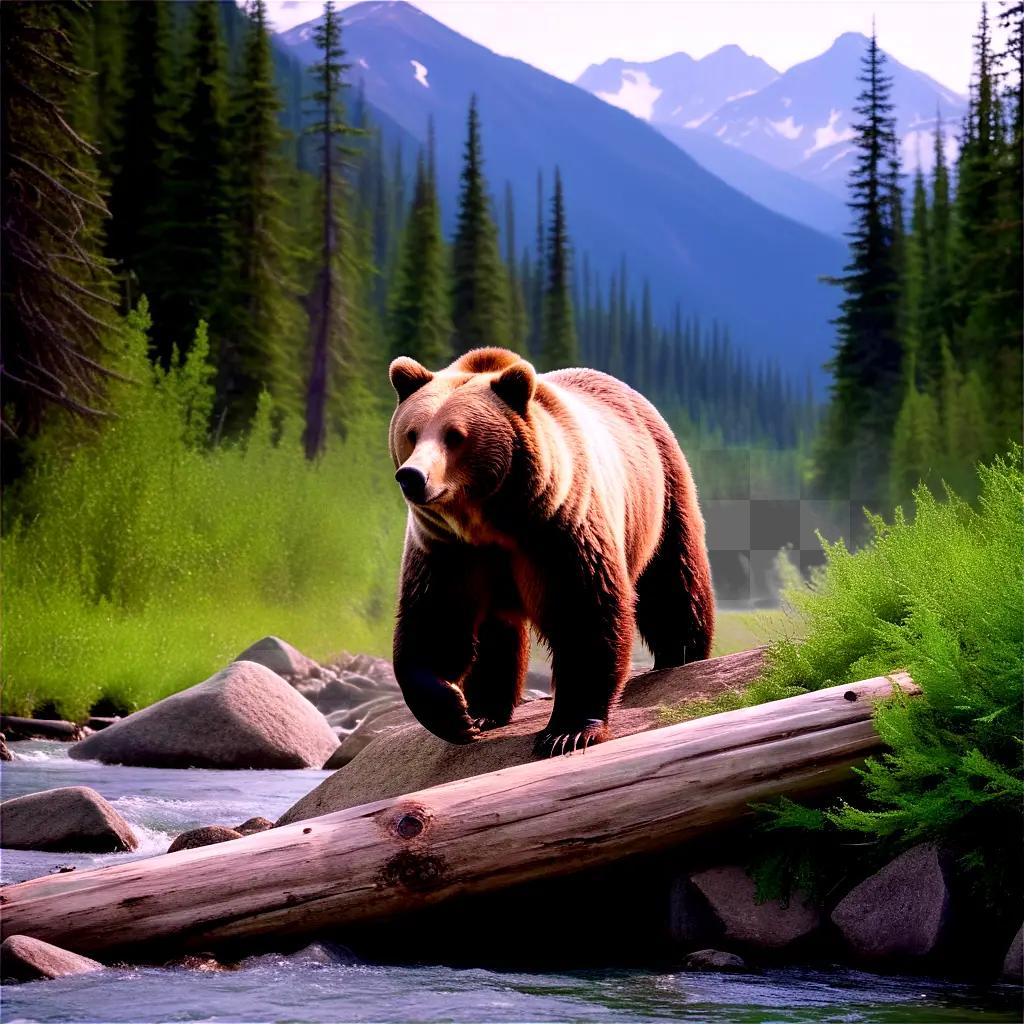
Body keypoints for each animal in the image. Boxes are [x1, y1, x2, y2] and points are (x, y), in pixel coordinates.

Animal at [387, 348, 716, 757]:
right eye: (412, 433)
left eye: (455, 436)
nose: (413, 476)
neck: (490, 520)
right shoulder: (445, 548)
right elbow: (434, 622)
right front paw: (454, 713)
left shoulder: (560, 531)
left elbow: (585, 615)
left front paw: (567, 731)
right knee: (498, 632)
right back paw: (486, 710)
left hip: (662, 491)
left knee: (674, 579)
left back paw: (681, 655)